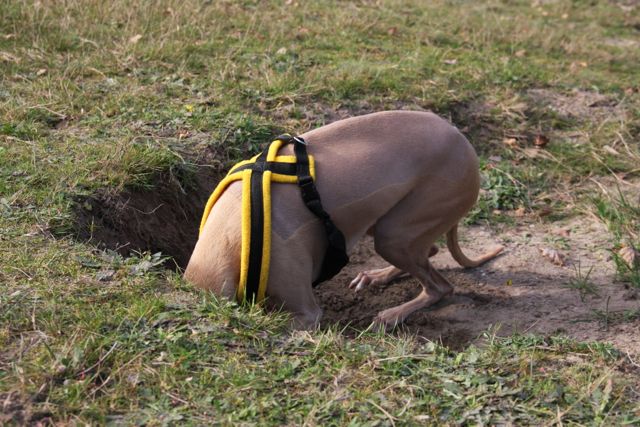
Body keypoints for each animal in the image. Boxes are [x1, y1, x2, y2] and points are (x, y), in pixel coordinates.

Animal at [185, 111, 503, 328]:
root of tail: (462, 140)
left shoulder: (306, 313)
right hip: (391, 227)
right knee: (431, 250)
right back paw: (376, 276)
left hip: (397, 234)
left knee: (441, 287)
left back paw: (391, 315)